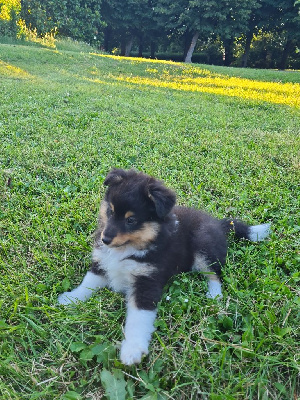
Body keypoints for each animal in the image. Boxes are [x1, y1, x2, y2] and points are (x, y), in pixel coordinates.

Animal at [57, 168, 270, 366]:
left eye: (131, 220)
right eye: (110, 211)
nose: (105, 239)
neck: (129, 249)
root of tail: (219, 224)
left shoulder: (147, 281)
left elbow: (138, 318)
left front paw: (132, 350)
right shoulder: (102, 262)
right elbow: (88, 282)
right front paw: (70, 299)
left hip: (203, 245)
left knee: (214, 274)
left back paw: (214, 295)